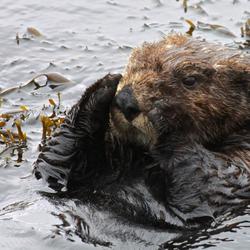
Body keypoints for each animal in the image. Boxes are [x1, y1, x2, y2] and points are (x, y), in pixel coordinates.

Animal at [34, 34, 250, 229]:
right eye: (134, 63)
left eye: (190, 80)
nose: (126, 100)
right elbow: (52, 165)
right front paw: (104, 86)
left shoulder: (237, 172)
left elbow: (209, 182)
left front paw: (161, 113)